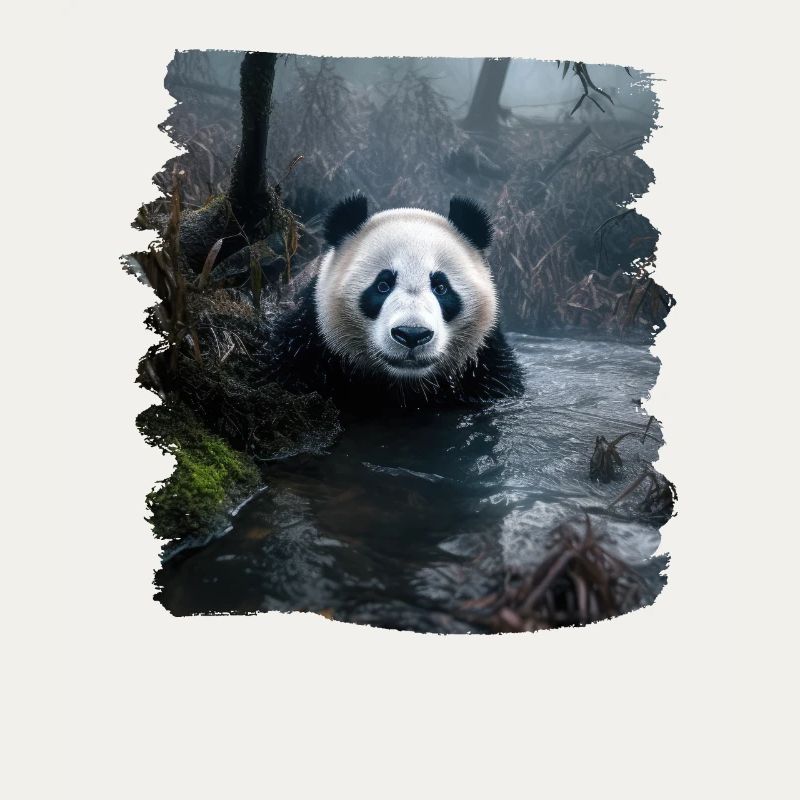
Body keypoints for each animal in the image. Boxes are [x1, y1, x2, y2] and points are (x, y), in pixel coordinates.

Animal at [270, 194, 524, 412]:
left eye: (441, 288)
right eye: (383, 285)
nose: (412, 334)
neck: (403, 386)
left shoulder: (486, 367)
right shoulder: (308, 344)